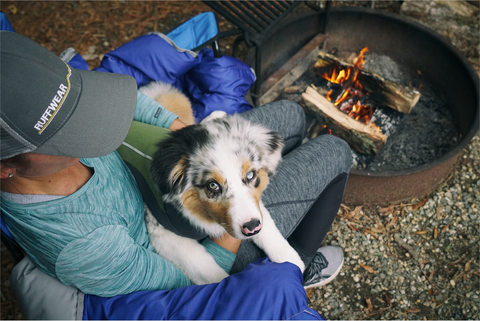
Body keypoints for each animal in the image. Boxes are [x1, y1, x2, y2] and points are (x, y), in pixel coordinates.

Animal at [141, 81, 304, 284]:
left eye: (250, 175)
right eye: (213, 185)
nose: (252, 228)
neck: (202, 213)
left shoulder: (255, 204)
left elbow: (267, 226)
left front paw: (291, 260)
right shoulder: (163, 232)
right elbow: (206, 269)